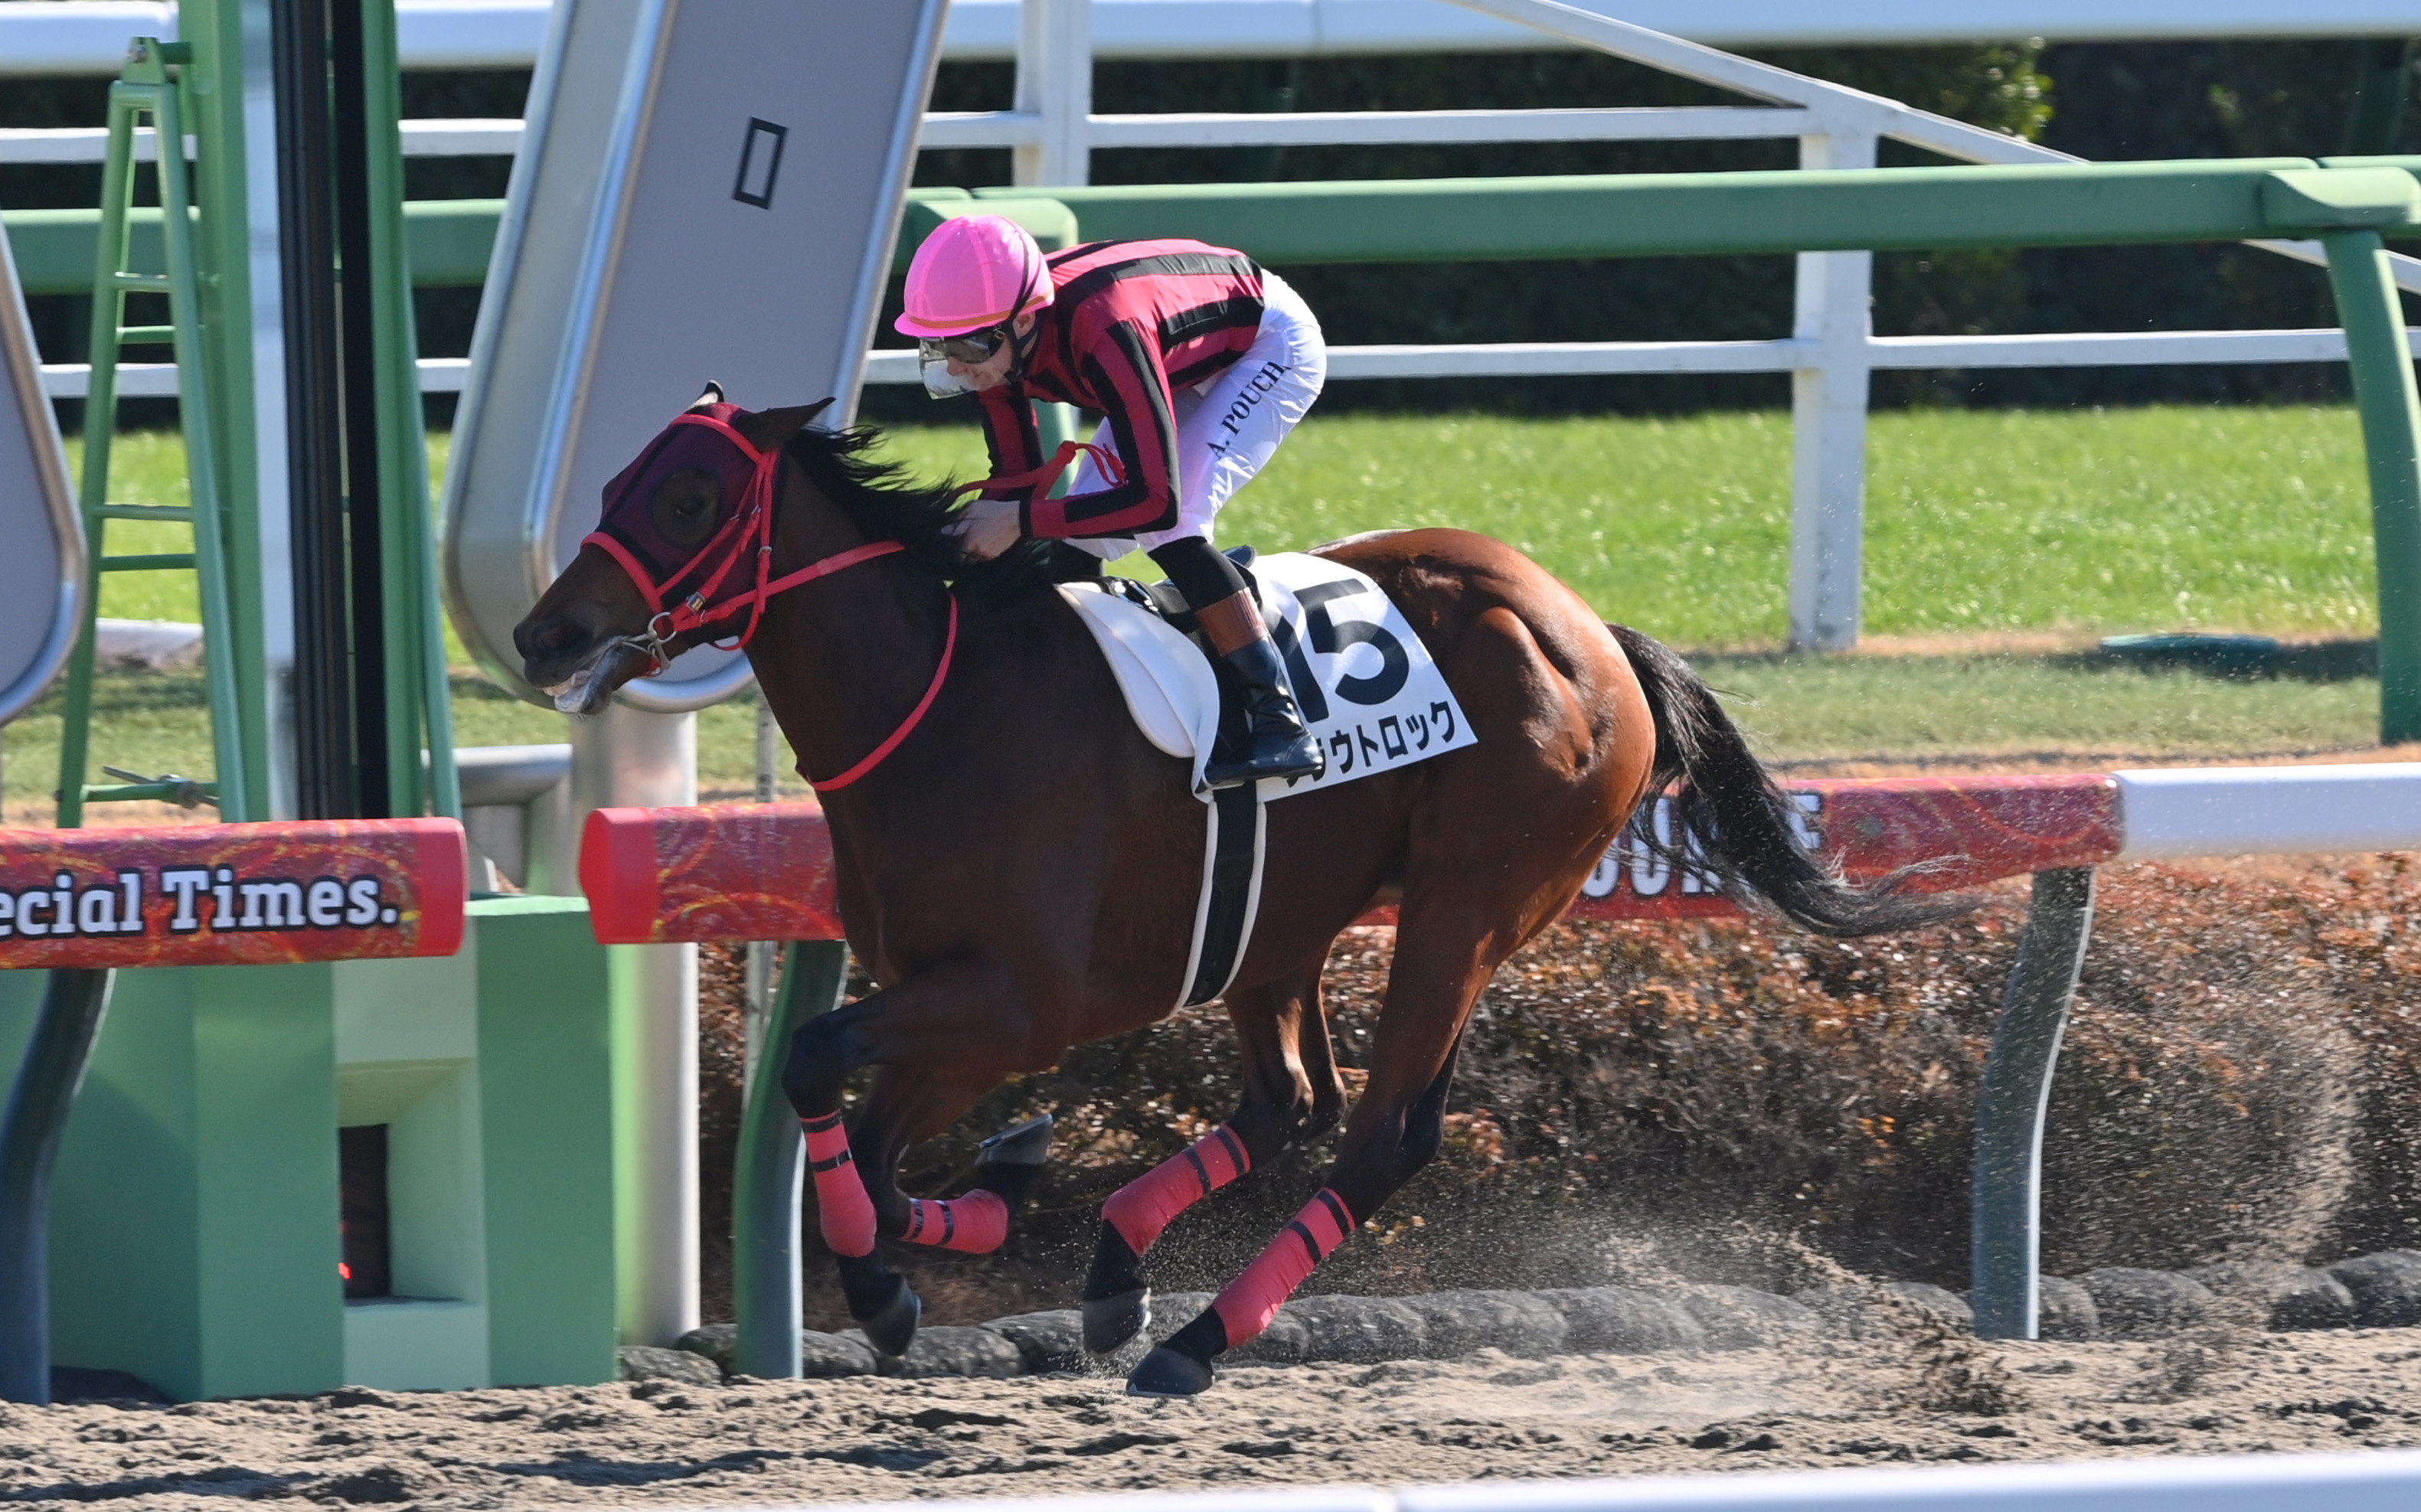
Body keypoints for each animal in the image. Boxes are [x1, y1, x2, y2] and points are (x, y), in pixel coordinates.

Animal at [514, 389, 1945, 1397]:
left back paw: (1192, 1339)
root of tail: (1591, 628)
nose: (544, 633)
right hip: (1279, 924)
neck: (943, 709)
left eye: (690, 497)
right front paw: (962, 1219)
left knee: (1380, 1133)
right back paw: (1113, 1275)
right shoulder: (949, 1006)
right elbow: (854, 1144)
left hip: (1467, 905)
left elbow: (816, 1062)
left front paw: (900, 1276)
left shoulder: (1017, 1004)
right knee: (1288, 1100)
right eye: (616, 480)